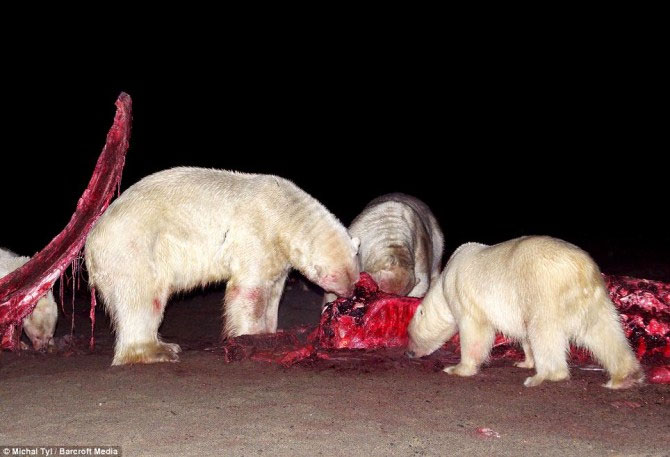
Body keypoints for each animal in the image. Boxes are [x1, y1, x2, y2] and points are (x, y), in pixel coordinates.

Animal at [84, 167, 360, 365]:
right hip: (134, 246)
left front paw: (270, 331)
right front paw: (251, 336)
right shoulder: (257, 232)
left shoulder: (277, 255)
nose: (349, 295)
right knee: (142, 297)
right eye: (336, 278)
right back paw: (158, 350)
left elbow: (273, 291)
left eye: (355, 276)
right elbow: (250, 290)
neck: (285, 210)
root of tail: (92, 238)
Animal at [407, 236, 643, 389]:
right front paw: (524, 362)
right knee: (604, 331)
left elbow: (475, 331)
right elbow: (524, 335)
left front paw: (457, 368)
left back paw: (545, 375)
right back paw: (625, 376)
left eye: (409, 334)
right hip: (593, 298)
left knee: (544, 331)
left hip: (543, 290)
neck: (446, 279)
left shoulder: (465, 296)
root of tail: (580, 269)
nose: (408, 353)